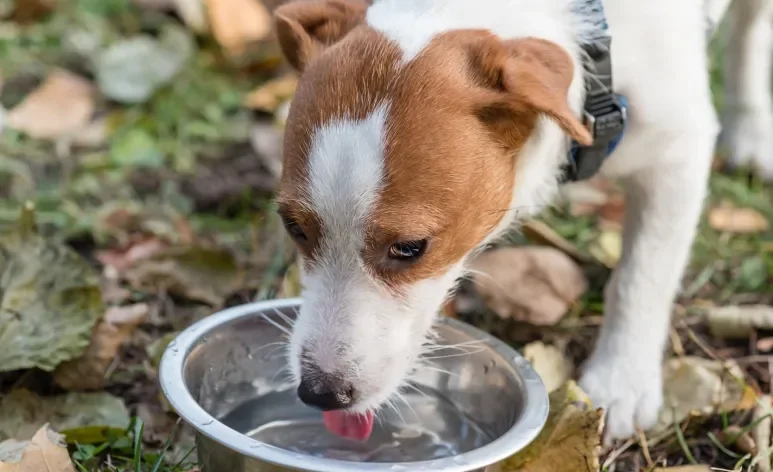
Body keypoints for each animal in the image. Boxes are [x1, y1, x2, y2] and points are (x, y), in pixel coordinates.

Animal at [268, 0, 772, 442]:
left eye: (410, 248)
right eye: (293, 227)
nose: (320, 393)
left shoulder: (678, 152)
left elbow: (641, 278)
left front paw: (621, 380)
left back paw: (750, 126)